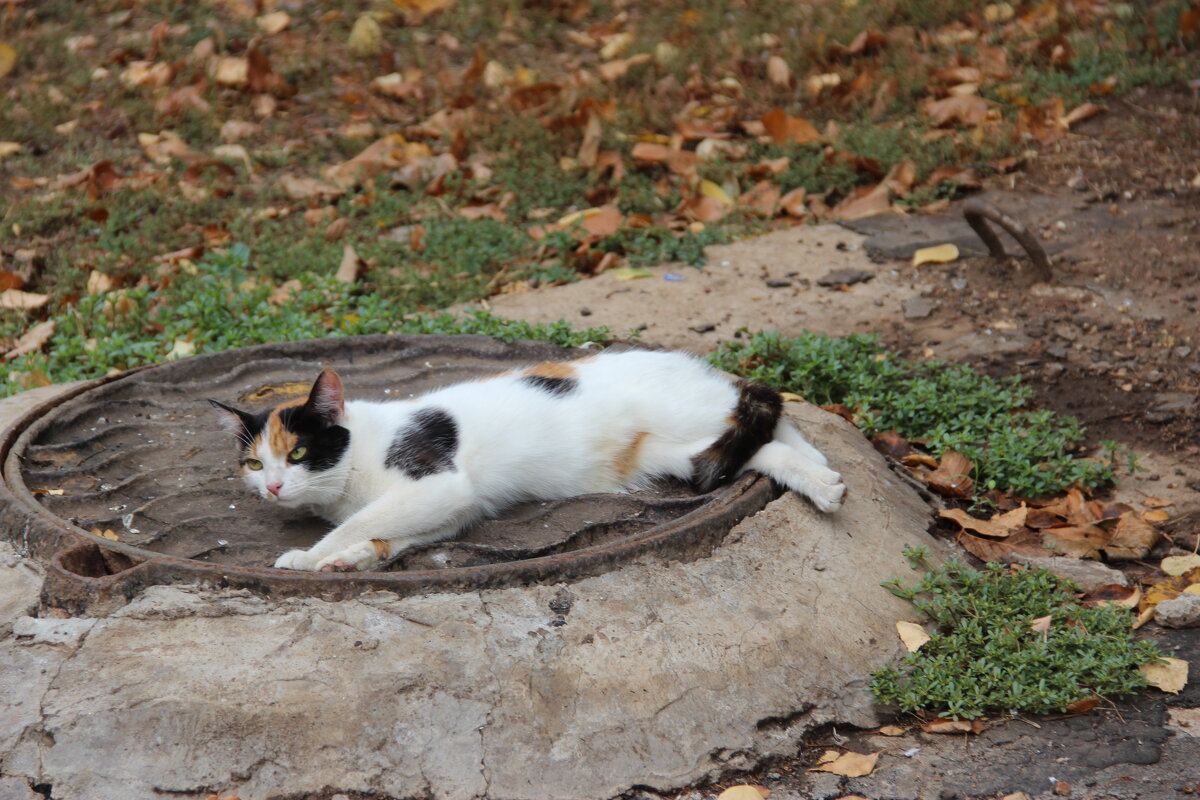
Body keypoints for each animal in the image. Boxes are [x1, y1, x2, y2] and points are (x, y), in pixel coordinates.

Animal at [211, 347, 844, 568]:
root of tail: (703, 367)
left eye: (298, 453)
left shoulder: (436, 483)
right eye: (253, 465)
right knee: (768, 436)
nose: (273, 487)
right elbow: (393, 535)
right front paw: (353, 561)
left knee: (766, 418)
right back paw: (823, 474)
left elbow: (363, 522)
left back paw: (823, 484)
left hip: (693, 421)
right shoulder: (456, 509)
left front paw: (307, 557)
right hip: (677, 453)